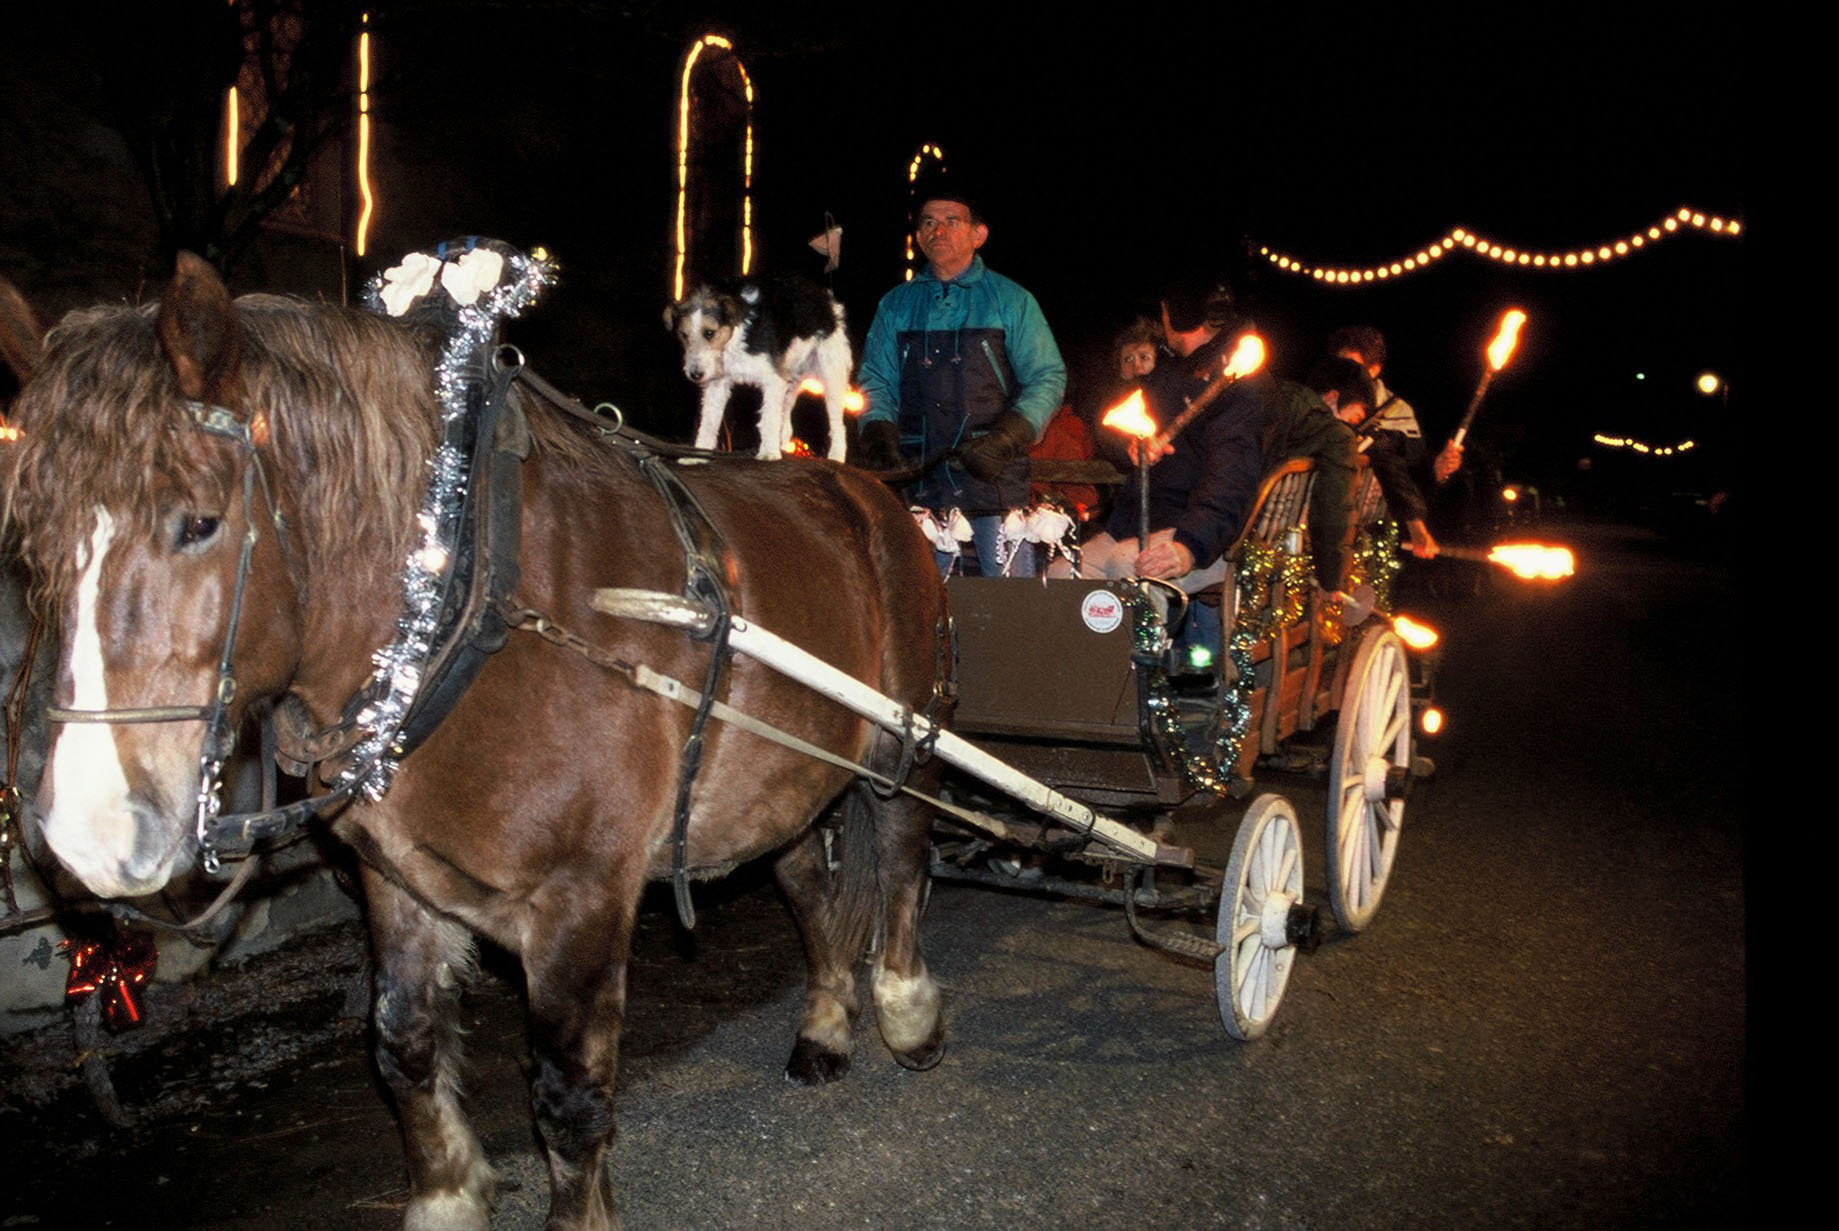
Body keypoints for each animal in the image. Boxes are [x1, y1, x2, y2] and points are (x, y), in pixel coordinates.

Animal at [666, 276, 853, 461]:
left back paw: (836, 455)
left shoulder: (773, 379)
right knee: (785, 415)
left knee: (838, 424)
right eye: (684, 335)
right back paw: (783, 444)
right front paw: (698, 454)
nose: (695, 374)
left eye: (709, 333)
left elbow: (769, 418)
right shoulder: (718, 385)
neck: (737, 336)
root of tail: (828, 299)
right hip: (791, 377)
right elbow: (709, 423)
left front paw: (769, 452)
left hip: (831, 375)